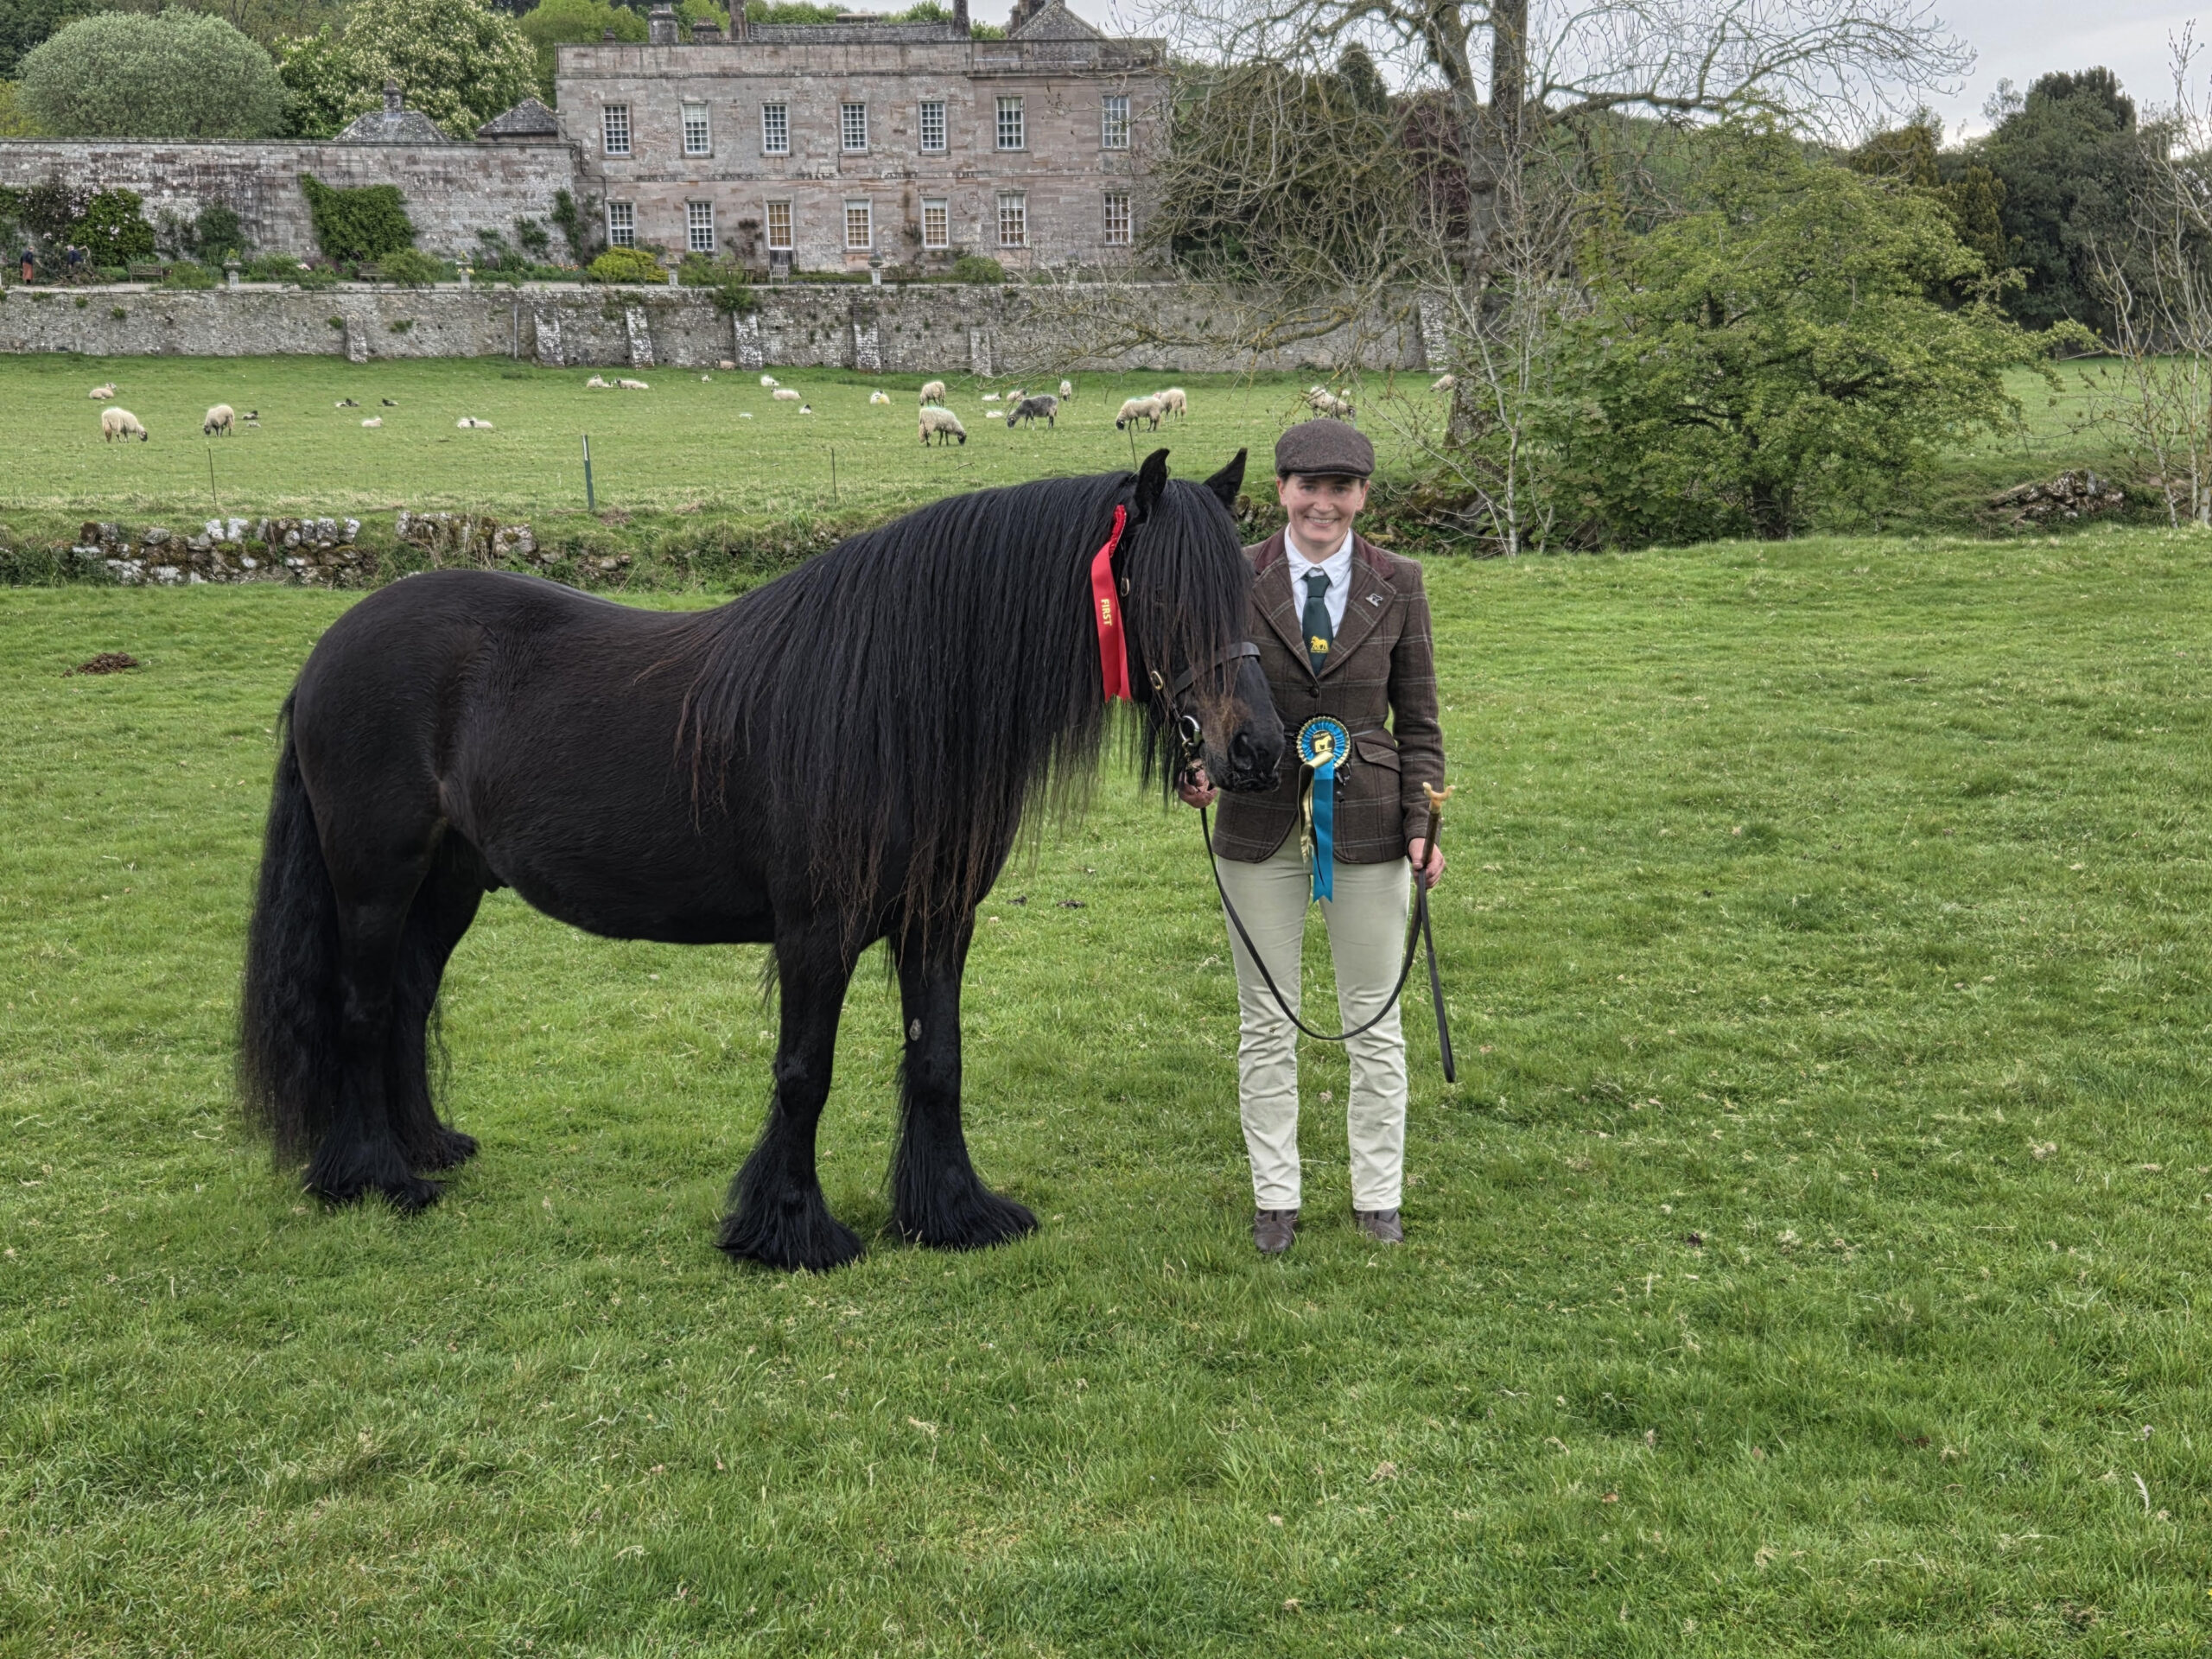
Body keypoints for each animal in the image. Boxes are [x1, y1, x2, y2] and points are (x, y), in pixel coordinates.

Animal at [238, 449, 1284, 1272]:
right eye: (1164, 592)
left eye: (1247, 591)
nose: (1258, 749)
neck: (895, 699)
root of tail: (330, 649)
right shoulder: (816, 933)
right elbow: (802, 1073)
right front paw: (786, 1231)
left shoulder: (937, 922)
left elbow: (937, 1061)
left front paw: (951, 1213)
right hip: (374, 881)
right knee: (364, 1009)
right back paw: (377, 1177)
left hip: (449, 881)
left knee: (410, 1000)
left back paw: (427, 1147)